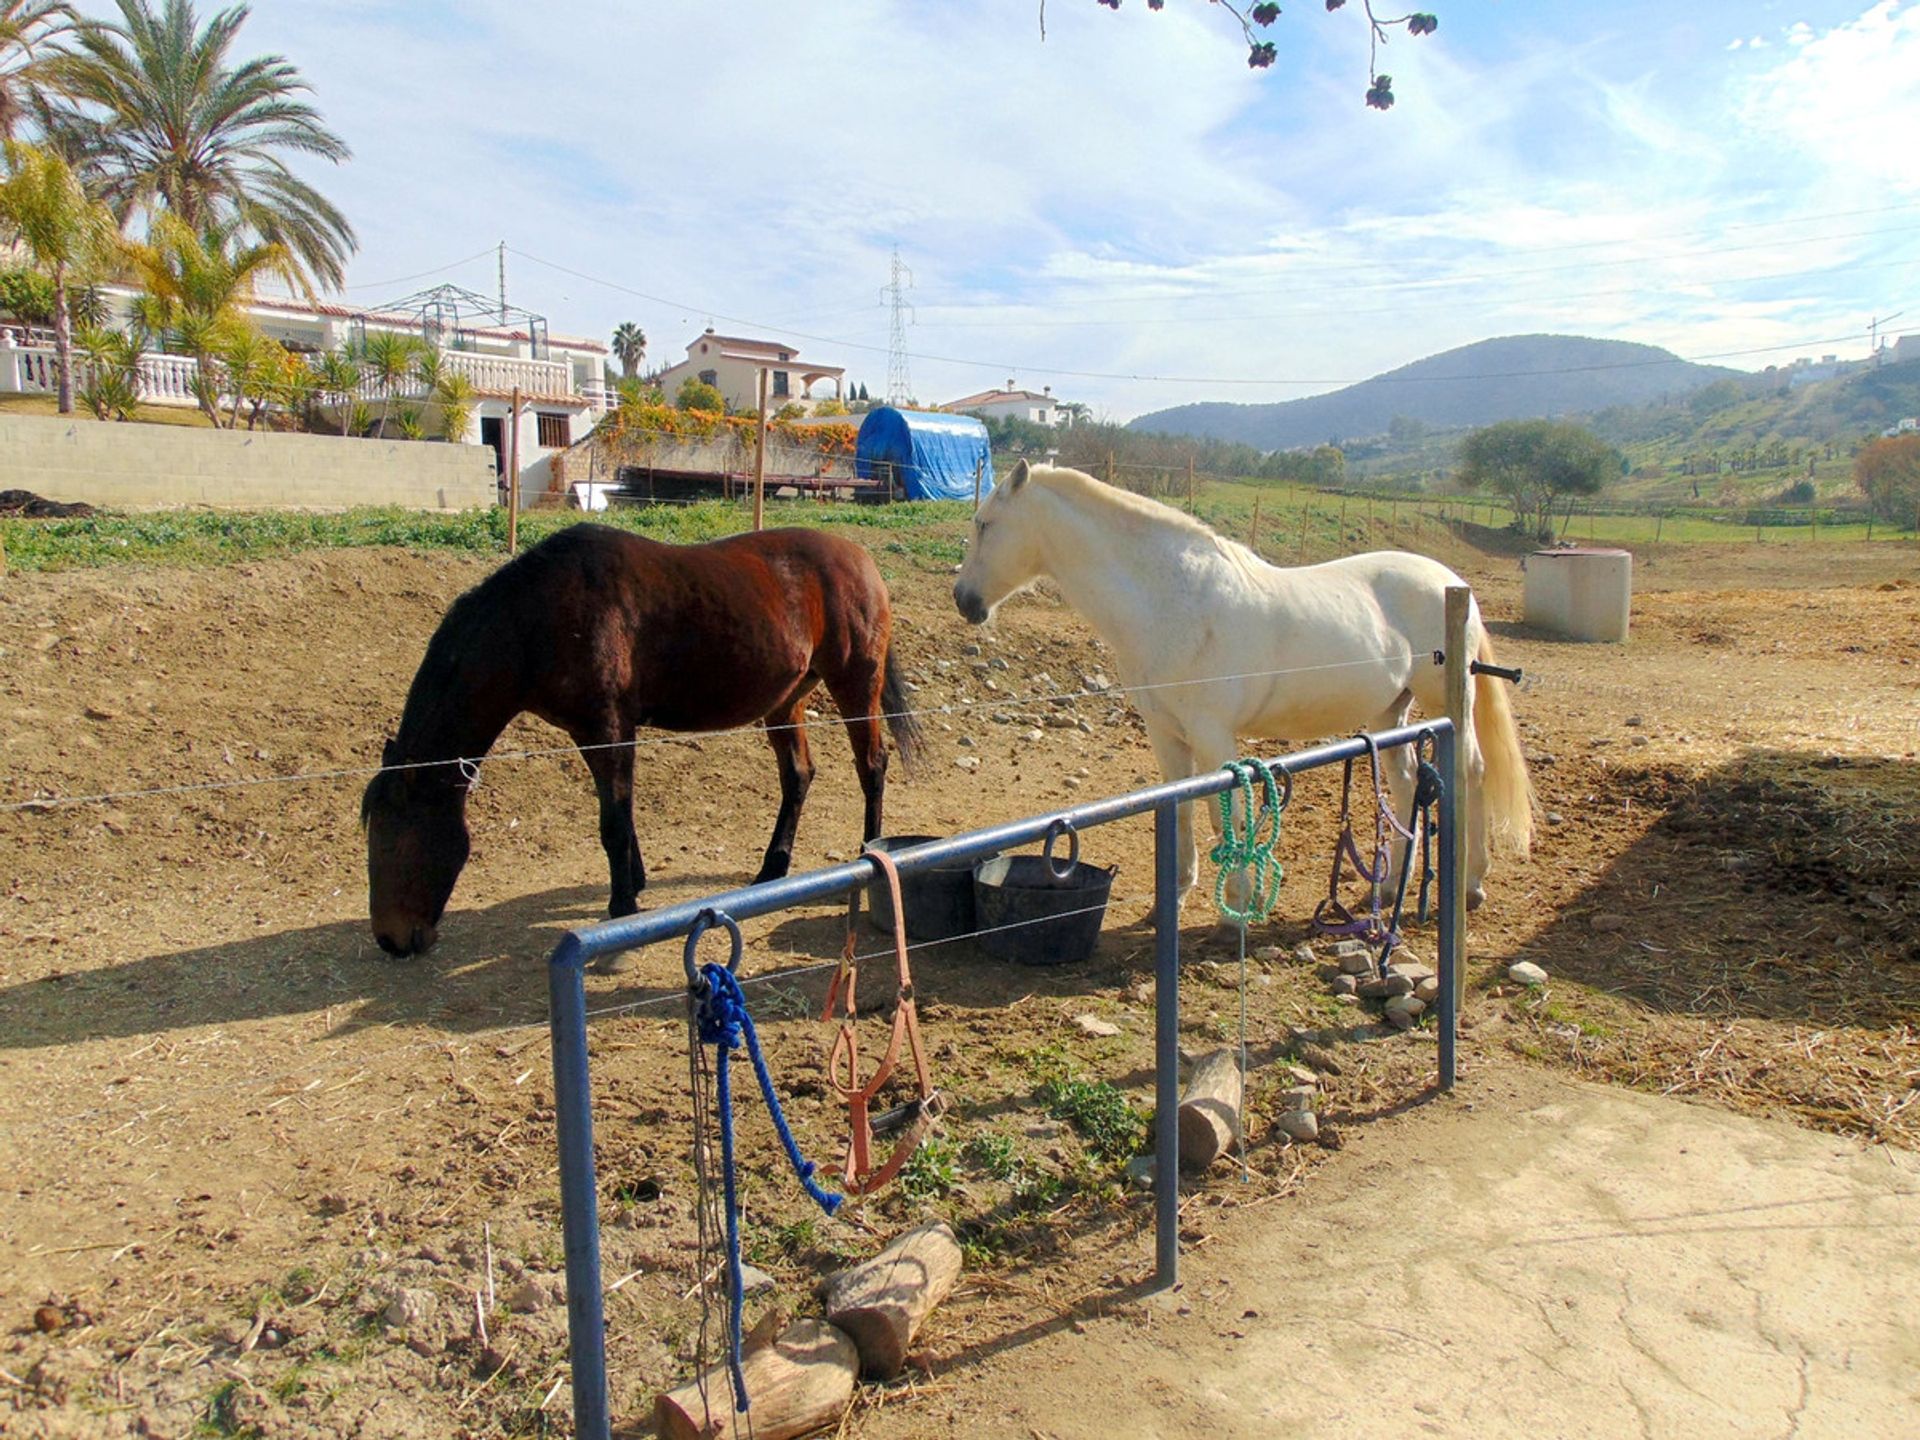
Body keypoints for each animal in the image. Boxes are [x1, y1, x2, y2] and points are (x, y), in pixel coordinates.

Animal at [368, 526, 929, 960]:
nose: (391, 940)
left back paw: (867, 853)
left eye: (396, 839)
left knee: (870, 765)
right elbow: (622, 813)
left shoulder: (606, 728)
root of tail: (861, 558)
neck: (539, 616)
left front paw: (622, 909)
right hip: (786, 699)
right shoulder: (596, 733)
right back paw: (773, 868)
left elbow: (613, 823)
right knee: (797, 776)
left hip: (855, 683)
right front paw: (633, 885)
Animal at [952, 462, 1536, 913]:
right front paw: (1177, 895)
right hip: (1390, 714)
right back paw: (1392, 886)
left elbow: (1223, 812)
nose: (964, 600)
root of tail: (1452, 582)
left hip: (1446, 702)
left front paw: (1239, 900)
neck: (1173, 599)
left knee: (1471, 771)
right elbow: (1181, 810)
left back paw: (1473, 883)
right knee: (1410, 784)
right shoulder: (1167, 735)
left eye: (985, 523)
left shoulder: (1214, 736)